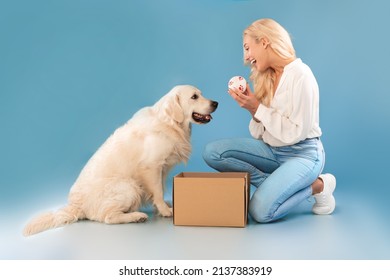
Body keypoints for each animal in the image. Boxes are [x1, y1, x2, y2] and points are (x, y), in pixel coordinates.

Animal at [23, 85, 219, 236]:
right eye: (194, 97)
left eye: (201, 94)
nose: (216, 103)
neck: (169, 123)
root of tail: (75, 205)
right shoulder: (151, 167)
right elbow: (157, 191)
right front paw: (165, 210)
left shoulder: (162, 169)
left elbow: (160, 190)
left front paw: (164, 205)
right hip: (129, 186)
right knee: (108, 217)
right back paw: (136, 216)